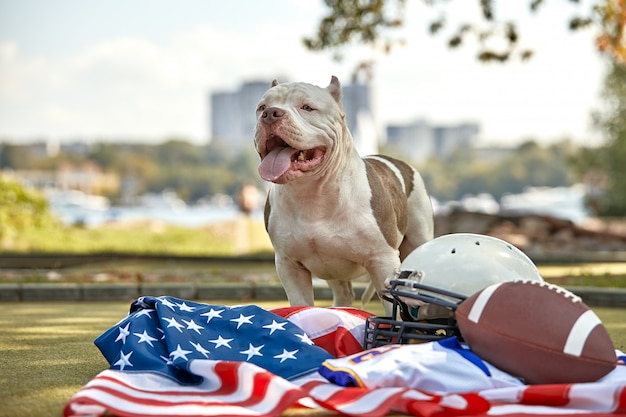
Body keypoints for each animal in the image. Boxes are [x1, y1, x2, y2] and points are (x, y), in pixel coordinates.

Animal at [251, 75, 432, 310]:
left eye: (307, 107)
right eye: (261, 107)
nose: (271, 113)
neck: (312, 193)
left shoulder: (383, 260)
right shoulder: (289, 265)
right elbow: (301, 304)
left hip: (419, 237)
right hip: (332, 269)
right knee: (343, 293)